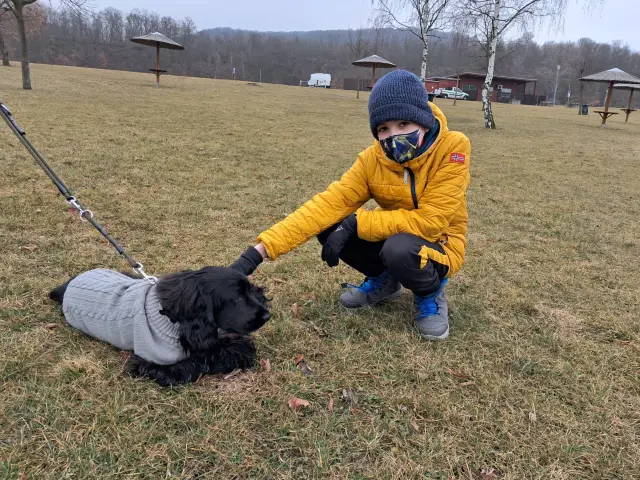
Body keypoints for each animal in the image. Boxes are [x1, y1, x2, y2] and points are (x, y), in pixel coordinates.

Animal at [49, 266, 271, 387]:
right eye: (237, 298)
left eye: (248, 290)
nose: (267, 315)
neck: (171, 316)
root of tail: (65, 288)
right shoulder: (151, 363)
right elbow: (192, 364)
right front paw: (236, 350)